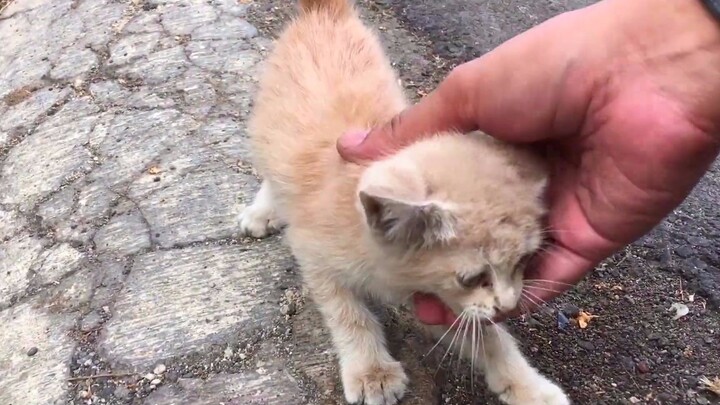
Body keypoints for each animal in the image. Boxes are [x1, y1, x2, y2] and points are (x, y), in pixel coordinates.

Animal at [239, 0, 572, 404]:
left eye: (524, 261)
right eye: (473, 277)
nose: (509, 306)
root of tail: (324, 12)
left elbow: (489, 337)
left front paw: (527, 386)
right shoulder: (313, 252)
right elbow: (345, 309)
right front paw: (372, 371)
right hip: (269, 131)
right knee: (273, 172)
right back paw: (264, 209)